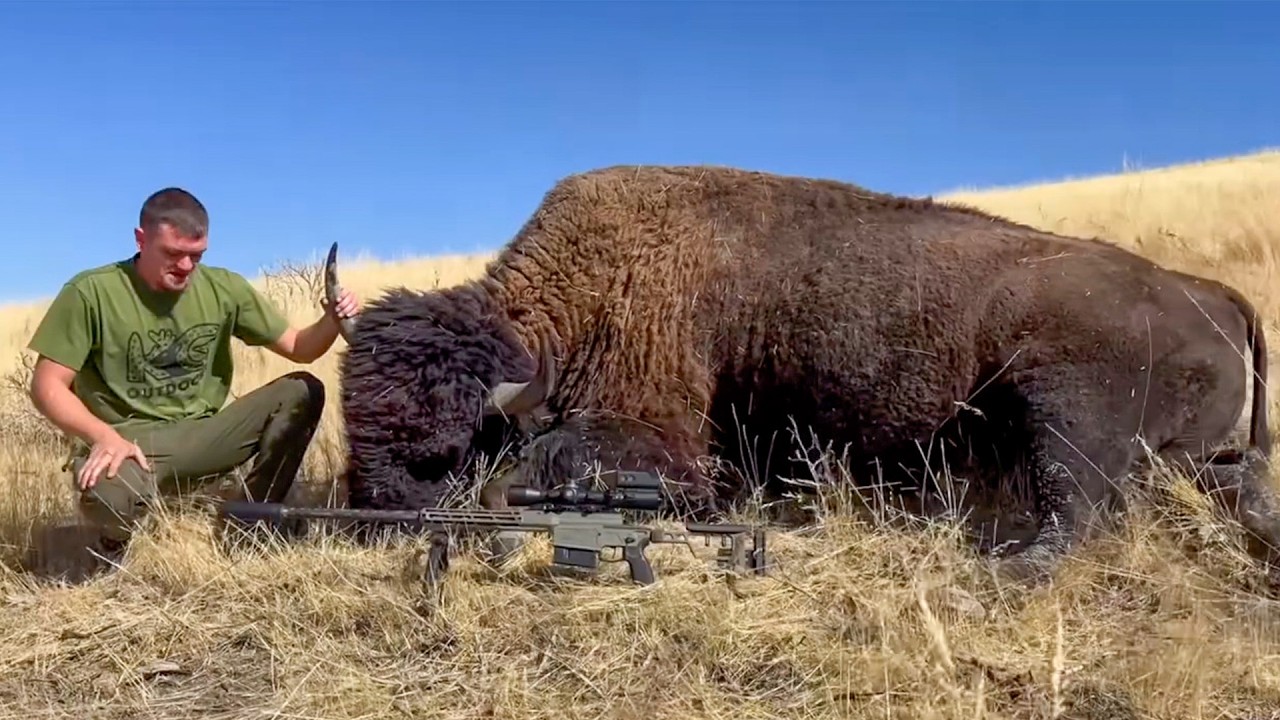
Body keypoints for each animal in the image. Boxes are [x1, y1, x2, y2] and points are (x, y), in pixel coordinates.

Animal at [325, 164, 1280, 585]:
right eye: (353, 424)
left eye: (445, 449)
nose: (373, 527)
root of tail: (1205, 292)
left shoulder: (654, 433)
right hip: (1191, 454)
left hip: (1063, 410)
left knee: (1076, 512)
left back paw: (1004, 569)